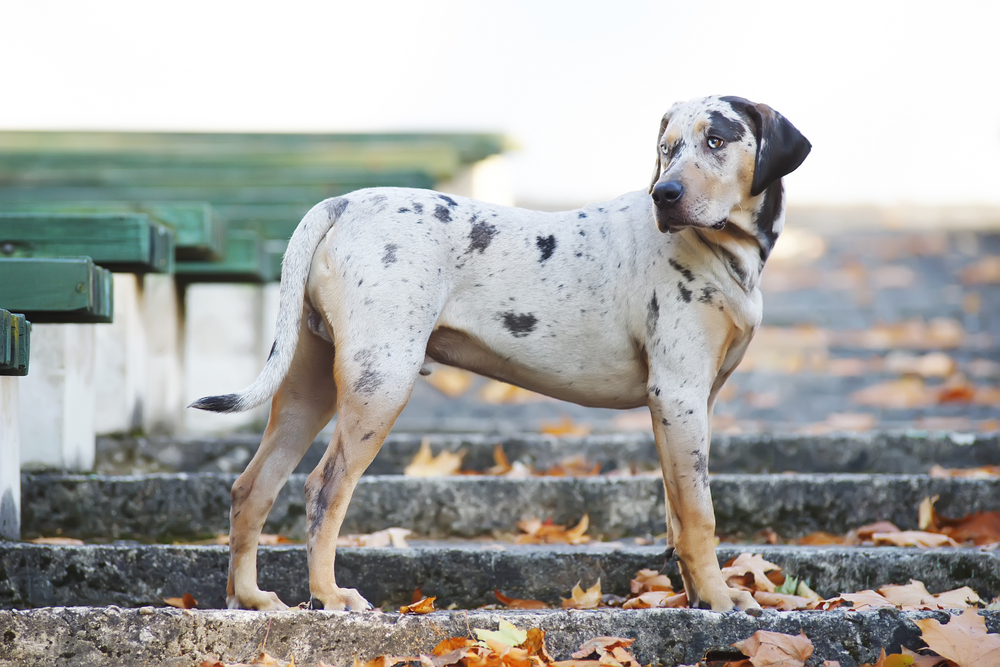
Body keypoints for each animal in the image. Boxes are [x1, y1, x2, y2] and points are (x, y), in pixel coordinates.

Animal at [193, 95, 812, 616]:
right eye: (667, 148)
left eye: (716, 140)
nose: (666, 194)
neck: (722, 249)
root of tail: (342, 203)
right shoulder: (678, 395)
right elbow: (701, 515)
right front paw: (721, 600)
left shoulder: (687, 408)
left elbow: (678, 513)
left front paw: (696, 595)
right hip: (380, 383)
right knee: (323, 490)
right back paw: (329, 595)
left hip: (310, 385)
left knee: (253, 486)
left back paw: (250, 598)